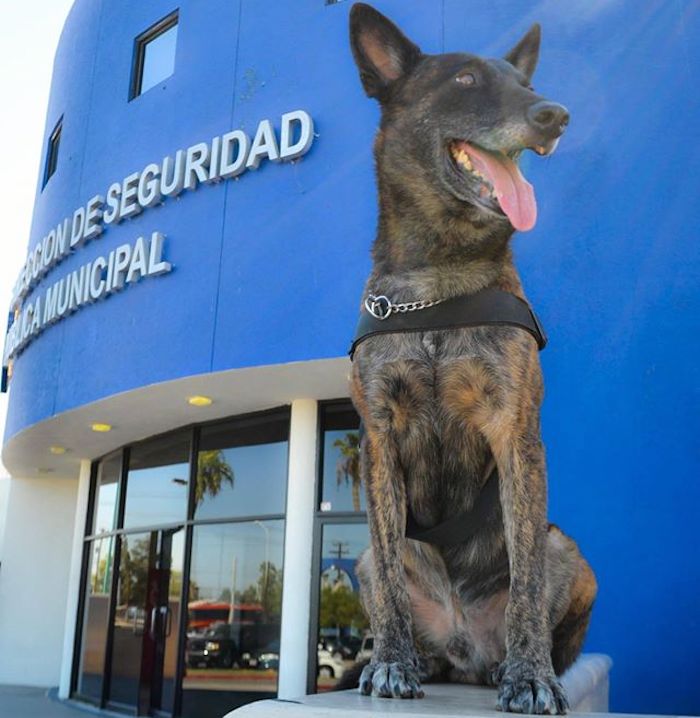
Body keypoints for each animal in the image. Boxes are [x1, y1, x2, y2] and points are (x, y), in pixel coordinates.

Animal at [348, 2, 596, 716]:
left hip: (569, 549)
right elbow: (391, 587)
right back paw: (417, 658)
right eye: (464, 80)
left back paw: (514, 664)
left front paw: (532, 676)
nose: (555, 114)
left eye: (525, 83)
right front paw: (391, 664)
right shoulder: (378, 437)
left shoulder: (515, 433)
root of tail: (464, 648)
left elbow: (527, 586)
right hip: (364, 561)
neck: (439, 282)